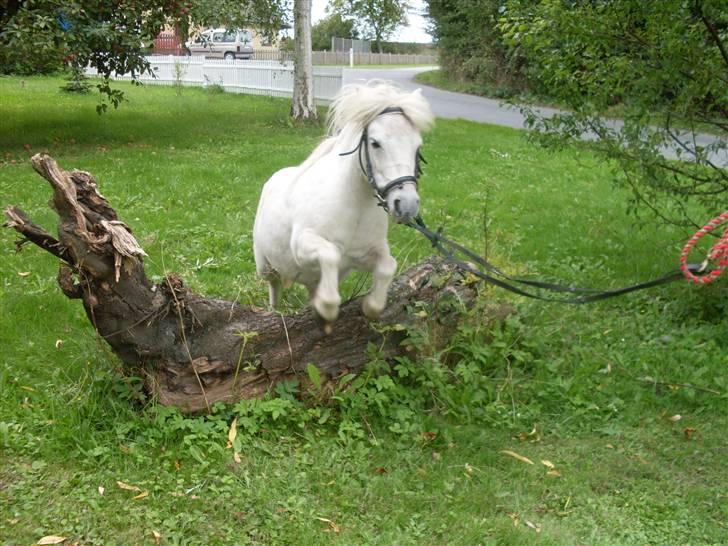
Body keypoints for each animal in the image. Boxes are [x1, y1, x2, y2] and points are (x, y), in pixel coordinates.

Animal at [252, 81, 432, 324]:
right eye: (375, 143)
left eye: (417, 146)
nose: (406, 205)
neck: (353, 206)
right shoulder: (302, 245)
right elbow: (331, 255)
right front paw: (328, 307)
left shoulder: (369, 253)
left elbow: (388, 266)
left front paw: (371, 307)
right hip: (265, 265)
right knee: (274, 284)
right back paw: (273, 311)